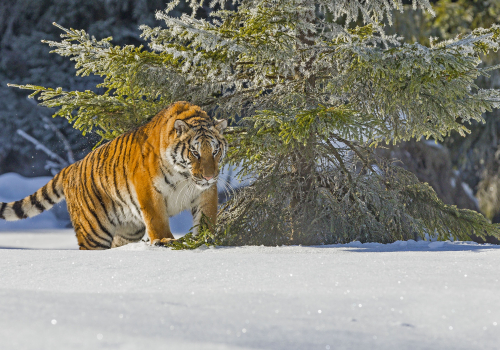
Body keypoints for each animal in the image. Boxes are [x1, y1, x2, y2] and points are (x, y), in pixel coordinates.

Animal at [0, 101, 228, 249]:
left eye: (215, 151)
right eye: (195, 152)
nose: (209, 177)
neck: (184, 176)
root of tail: (72, 167)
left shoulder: (205, 192)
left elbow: (206, 216)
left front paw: (206, 239)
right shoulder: (148, 189)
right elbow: (157, 219)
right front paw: (164, 240)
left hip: (128, 230)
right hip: (94, 231)